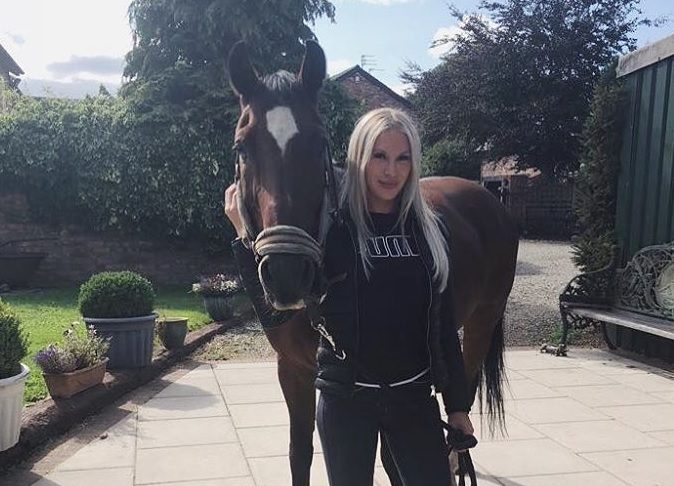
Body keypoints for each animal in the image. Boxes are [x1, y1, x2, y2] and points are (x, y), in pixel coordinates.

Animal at [227, 40, 519, 486]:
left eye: (319, 142)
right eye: (242, 146)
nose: (287, 275)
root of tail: (488, 198)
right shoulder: (292, 370)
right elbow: (300, 453)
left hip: (481, 323)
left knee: (462, 400)